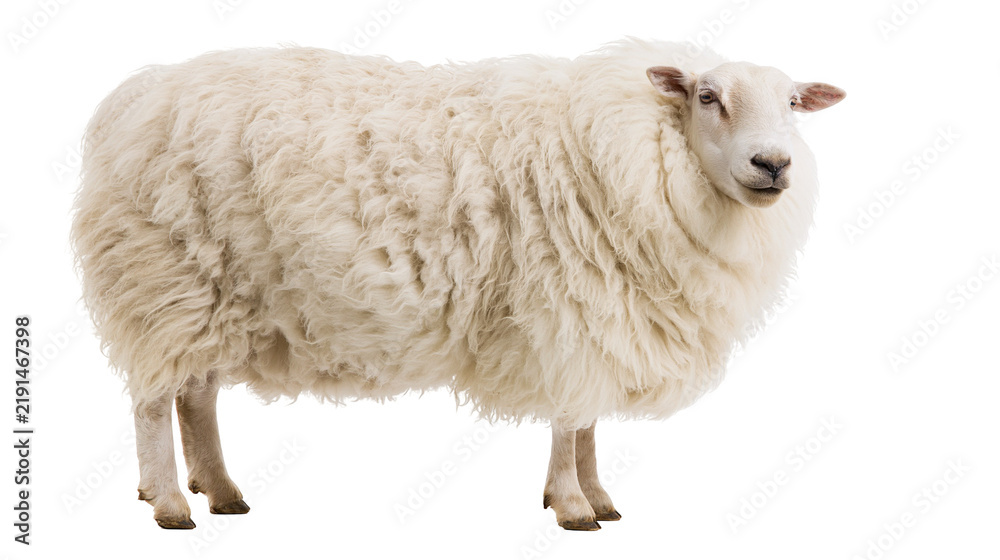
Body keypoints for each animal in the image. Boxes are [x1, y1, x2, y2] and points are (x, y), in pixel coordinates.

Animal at [71, 39, 844, 531]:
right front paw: (573, 506)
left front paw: (596, 494)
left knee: (194, 395)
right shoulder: (564, 306)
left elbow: (586, 422)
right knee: (153, 402)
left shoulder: (594, 314)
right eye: (708, 96)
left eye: (793, 104)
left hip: (211, 292)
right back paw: (171, 503)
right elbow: (569, 421)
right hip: (161, 275)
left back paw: (220, 490)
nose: (773, 164)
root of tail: (134, 98)